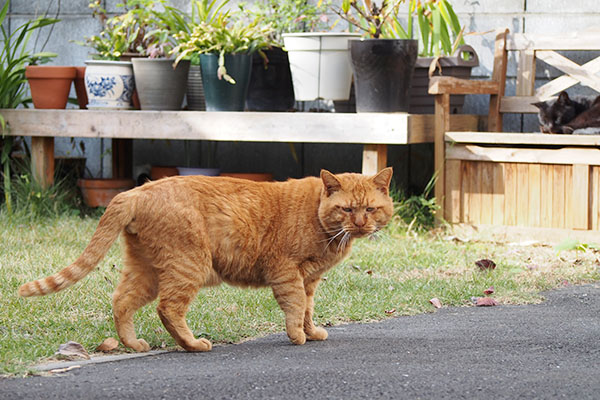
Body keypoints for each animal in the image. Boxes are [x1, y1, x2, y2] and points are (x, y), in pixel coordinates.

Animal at [17, 167, 394, 352]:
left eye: (371, 209)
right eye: (347, 209)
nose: (361, 224)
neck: (321, 222)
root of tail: (137, 190)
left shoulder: (310, 279)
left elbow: (308, 309)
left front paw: (312, 332)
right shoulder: (287, 272)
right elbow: (295, 306)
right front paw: (297, 337)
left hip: (146, 269)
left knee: (121, 301)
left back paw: (134, 344)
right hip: (189, 265)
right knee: (168, 308)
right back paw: (194, 345)